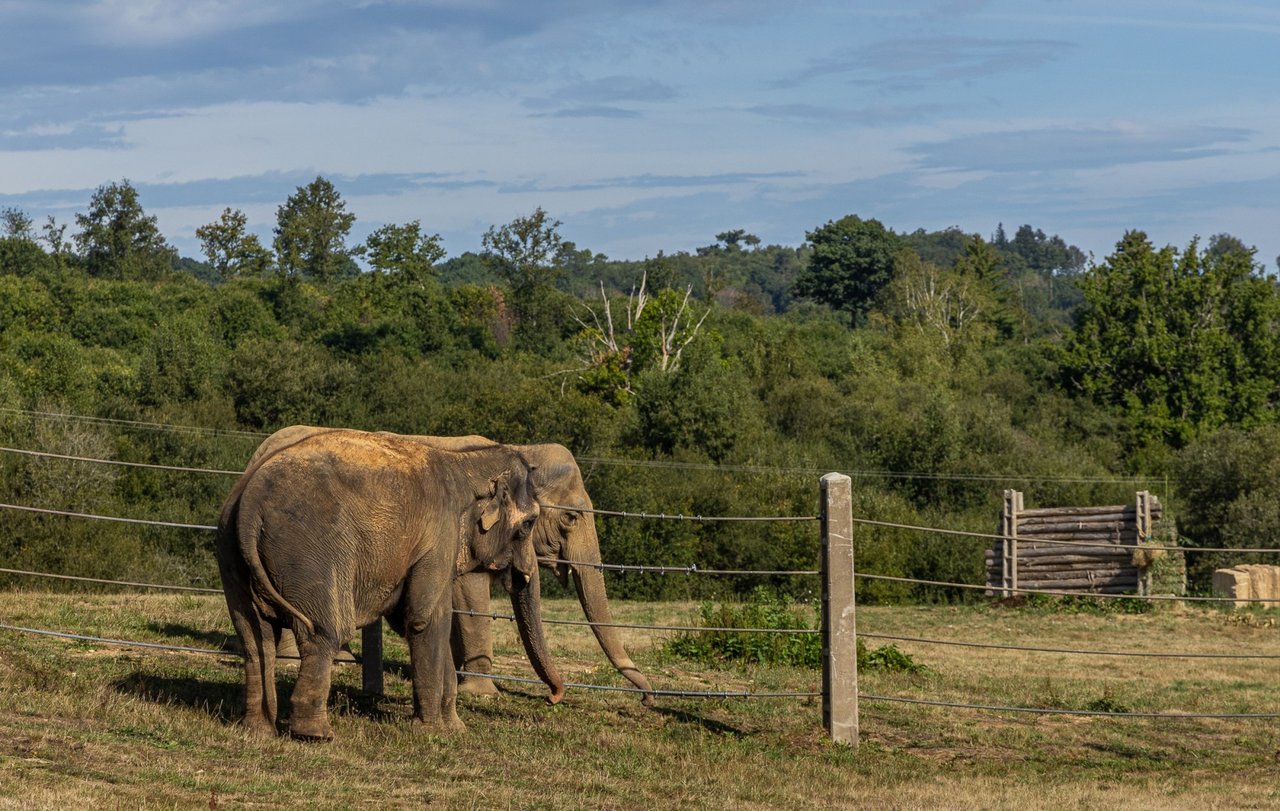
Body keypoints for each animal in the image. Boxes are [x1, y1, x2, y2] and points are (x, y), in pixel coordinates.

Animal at [217, 429, 563, 736]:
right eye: (529, 523)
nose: (553, 698)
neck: (465, 462)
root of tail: (250, 502)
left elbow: (430, 616)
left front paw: (454, 729)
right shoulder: (439, 535)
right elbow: (423, 619)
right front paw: (430, 731)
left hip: (232, 554)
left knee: (255, 638)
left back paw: (258, 730)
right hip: (309, 552)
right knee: (324, 631)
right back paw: (316, 734)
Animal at [248, 429, 655, 700]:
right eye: (570, 518)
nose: (647, 696)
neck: (519, 450)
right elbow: (470, 591)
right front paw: (481, 692)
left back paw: (342, 660)